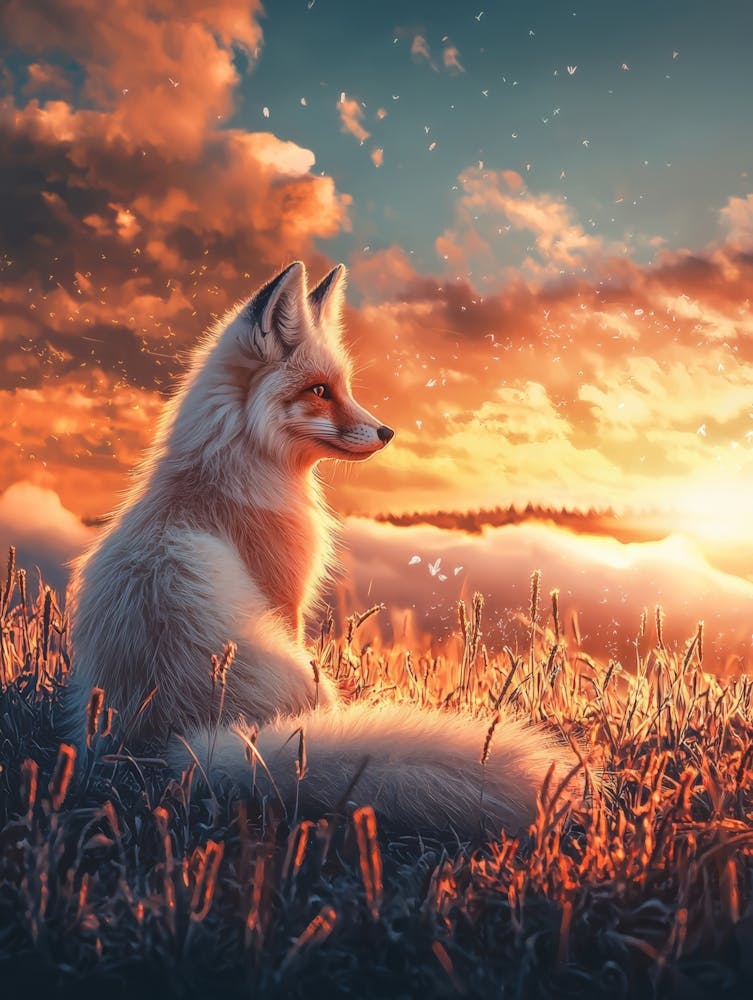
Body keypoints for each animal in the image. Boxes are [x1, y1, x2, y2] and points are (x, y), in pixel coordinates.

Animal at [66, 260, 575, 837]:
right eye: (319, 390)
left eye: (344, 387)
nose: (387, 431)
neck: (225, 471)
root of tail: (171, 745)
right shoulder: (286, 598)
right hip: (310, 679)